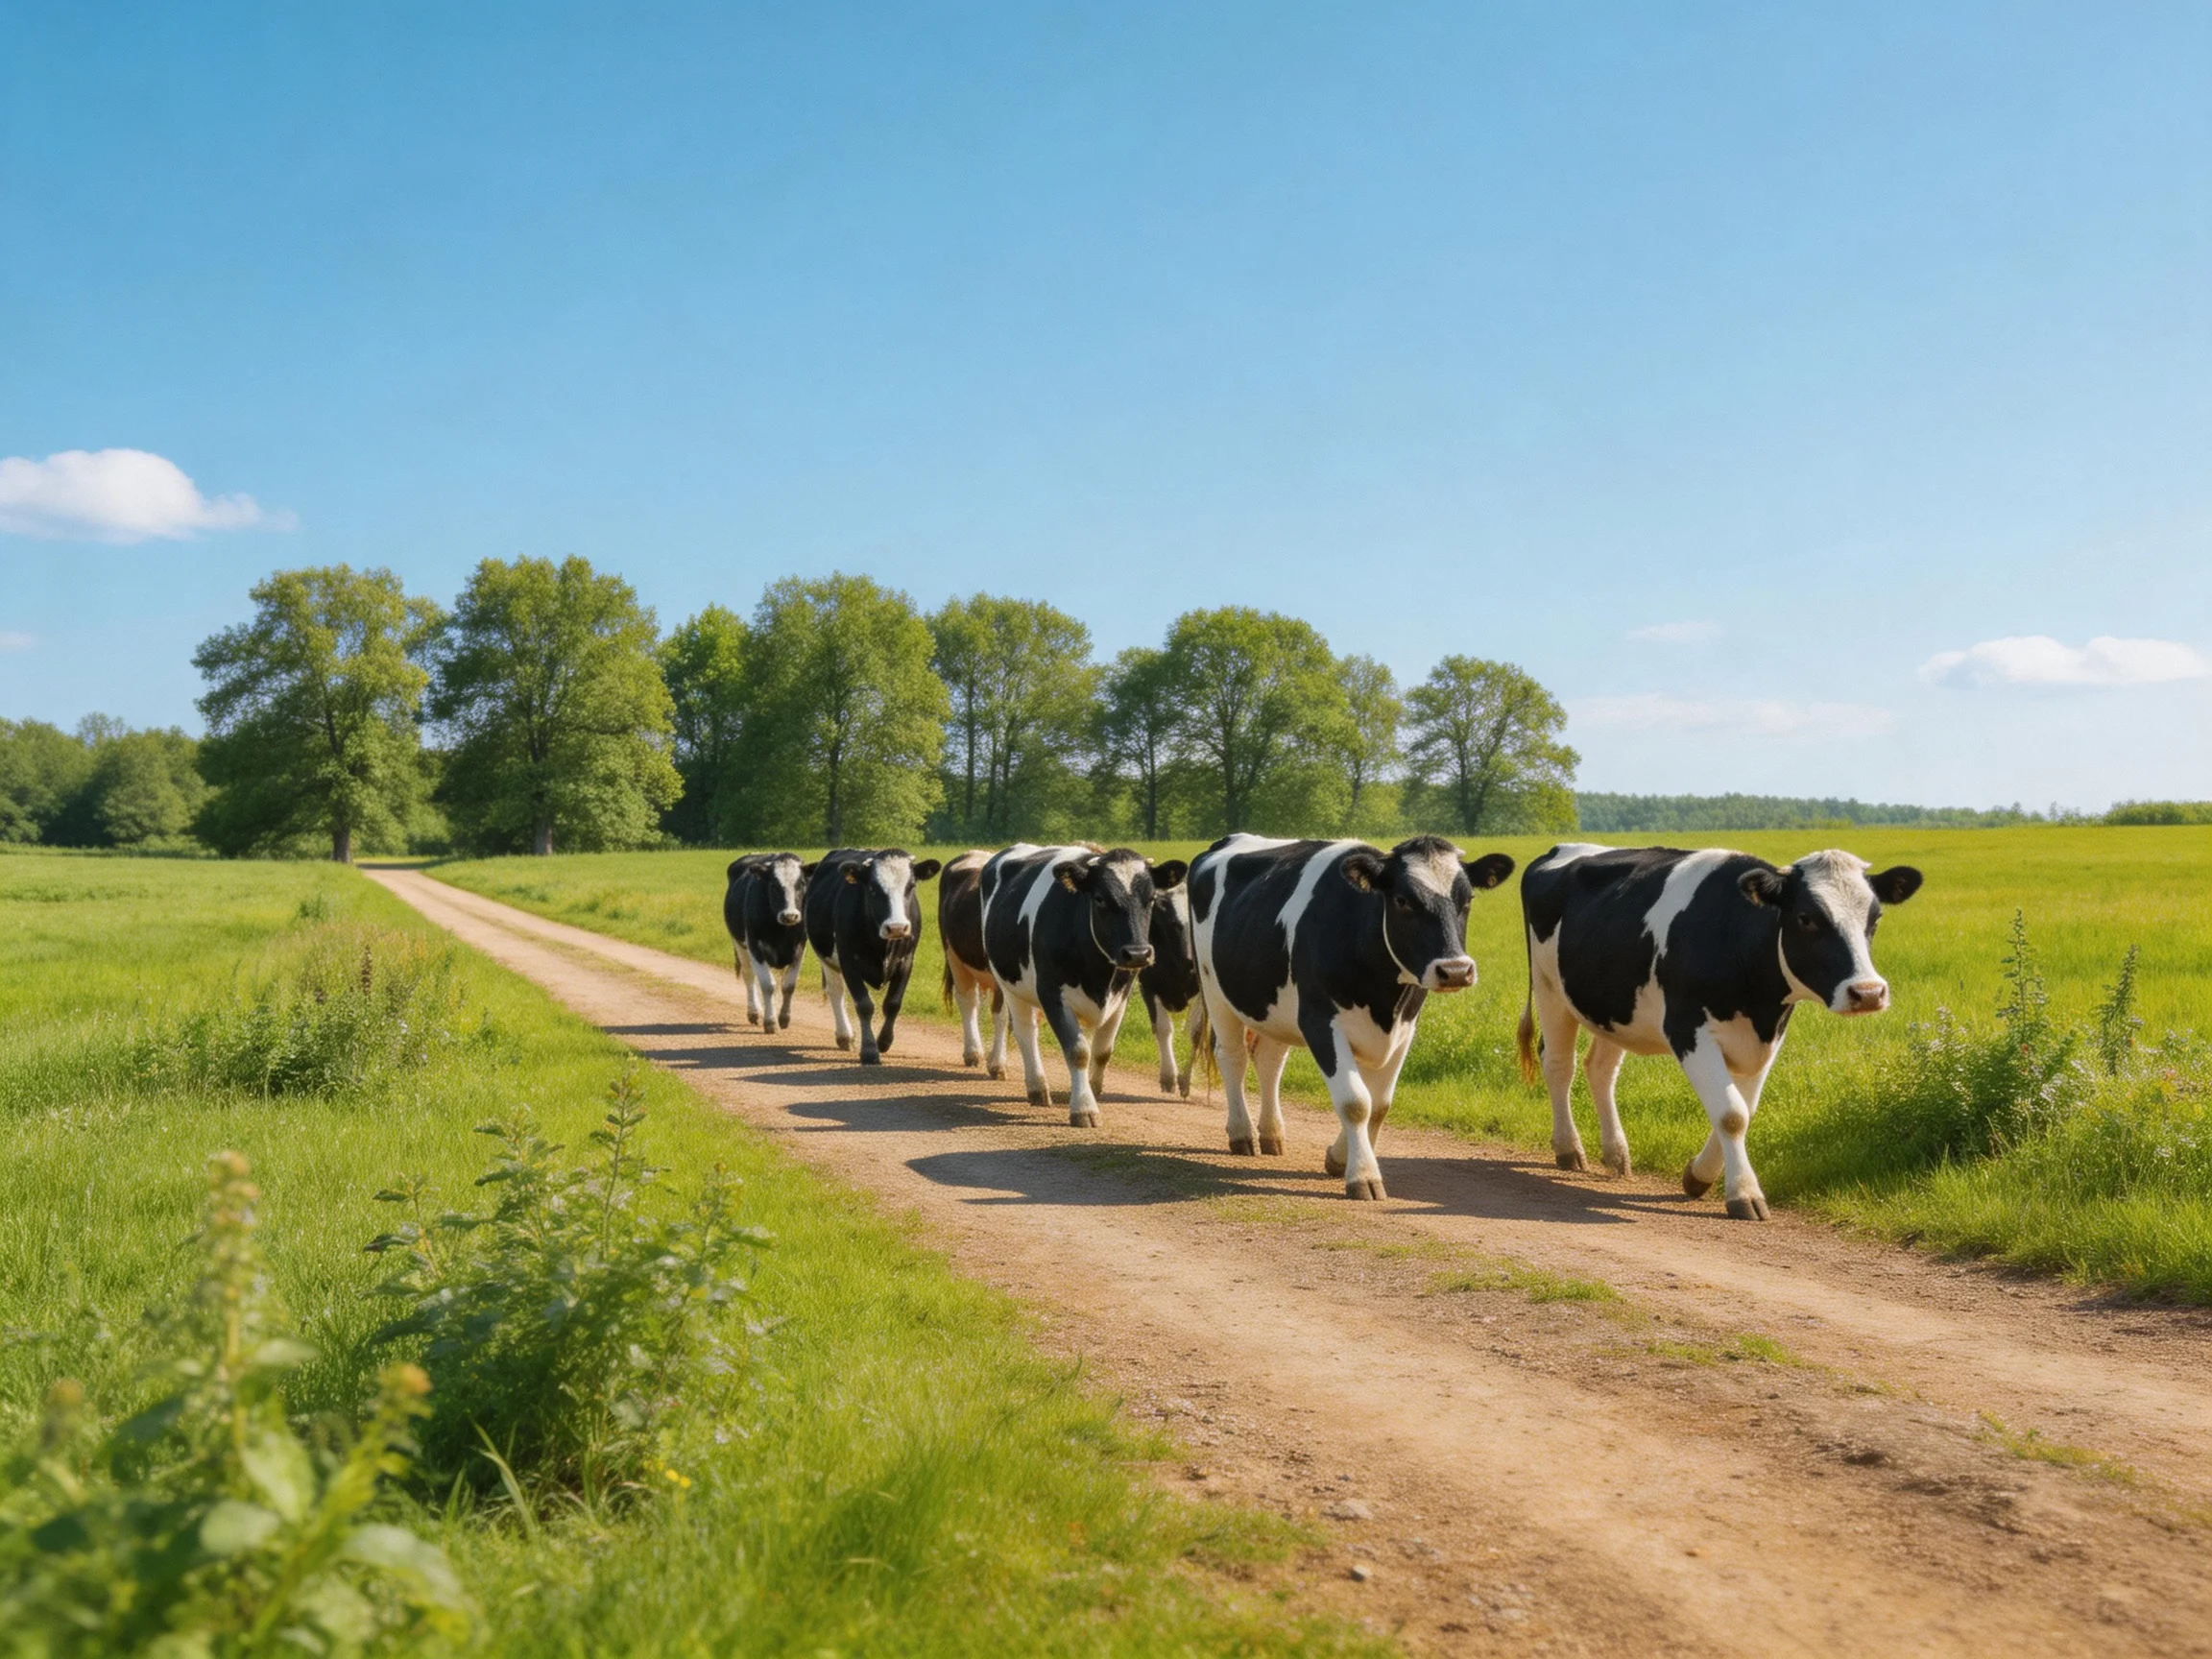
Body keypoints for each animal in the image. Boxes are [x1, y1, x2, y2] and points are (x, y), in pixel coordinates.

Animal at [723, 852, 815, 1030]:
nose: (790, 916)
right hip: (739, 943)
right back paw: (754, 1011)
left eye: (801, 884)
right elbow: (768, 985)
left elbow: (789, 985)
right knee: (749, 975)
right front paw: (770, 1021)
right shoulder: (755, 946)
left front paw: (784, 1018)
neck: (781, 931)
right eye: (774, 886)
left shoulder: (800, 947)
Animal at [802, 847, 943, 1064]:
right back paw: (845, 1035)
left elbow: (893, 1003)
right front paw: (869, 1049)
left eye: (910, 886)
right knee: (836, 991)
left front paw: (884, 1041)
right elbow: (864, 1005)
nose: (896, 927)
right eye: (872, 889)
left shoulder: (907, 961)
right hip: (825, 957)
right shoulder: (849, 961)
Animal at [952, 844, 1188, 1126]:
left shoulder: (1121, 997)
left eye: (1151, 898)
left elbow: (1102, 1051)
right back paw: (1037, 1087)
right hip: (1008, 985)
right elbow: (1078, 1051)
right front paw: (1084, 1108)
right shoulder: (1052, 994)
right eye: (1099, 899)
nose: (1138, 953)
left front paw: (1093, 1090)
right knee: (1024, 1031)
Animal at [1189, 834, 1516, 1199]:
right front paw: (1363, 1175)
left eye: (1468, 899)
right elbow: (1355, 1101)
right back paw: (1242, 1133)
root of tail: (1228, 840)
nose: (1456, 970)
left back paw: (1271, 1134)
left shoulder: (1405, 1028)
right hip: (1214, 989)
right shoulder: (1320, 1022)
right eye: (1402, 900)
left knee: (1270, 1061)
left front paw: (1339, 1158)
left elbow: (1380, 1104)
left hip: (1275, 1008)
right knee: (1232, 1057)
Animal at [1518, 844, 1923, 1220]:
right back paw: (1569, 1148)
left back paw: (1616, 1154)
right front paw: (1743, 1194)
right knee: (1559, 1065)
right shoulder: (1688, 1029)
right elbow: (1731, 1113)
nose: (1868, 992)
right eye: (1806, 918)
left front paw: (1699, 1176)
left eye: (1875, 917)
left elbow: (1744, 1108)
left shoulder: (1768, 1037)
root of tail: (1561, 850)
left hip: (1614, 1007)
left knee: (1600, 1070)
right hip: (1549, 989)